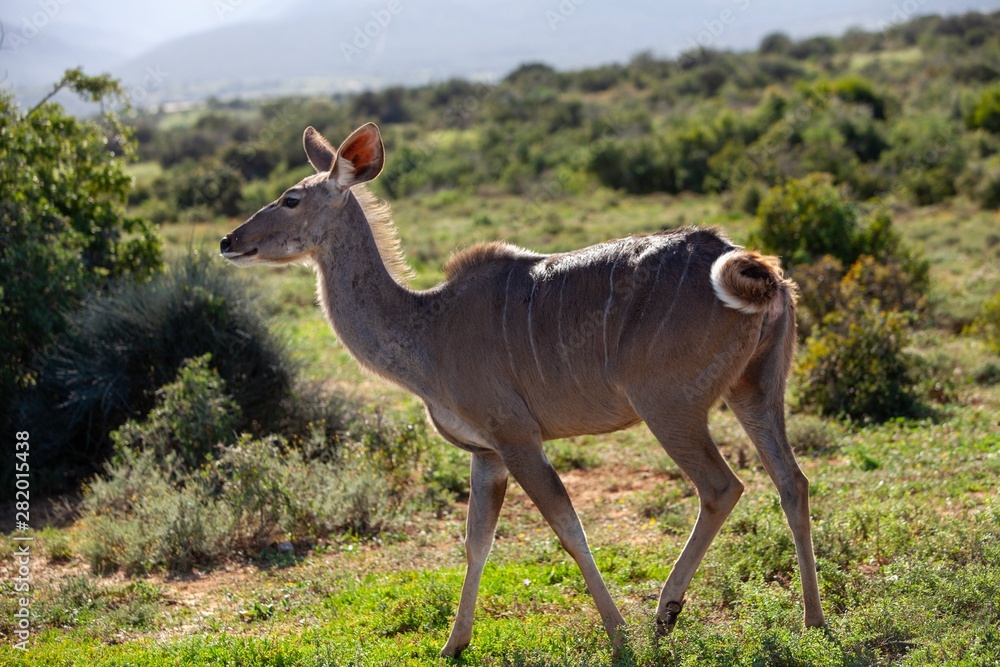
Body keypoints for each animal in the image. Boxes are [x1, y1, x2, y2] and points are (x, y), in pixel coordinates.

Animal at [220, 123, 825, 657]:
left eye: (291, 199)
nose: (229, 241)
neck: (428, 328)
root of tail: (765, 275)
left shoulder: (517, 439)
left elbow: (568, 528)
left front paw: (619, 636)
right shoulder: (486, 454)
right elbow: (476, 542)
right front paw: (453, 645)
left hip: (669, 407)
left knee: (723, 487)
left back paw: (664, 615)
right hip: (755, 391)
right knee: (792, 483)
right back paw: (813, 622)